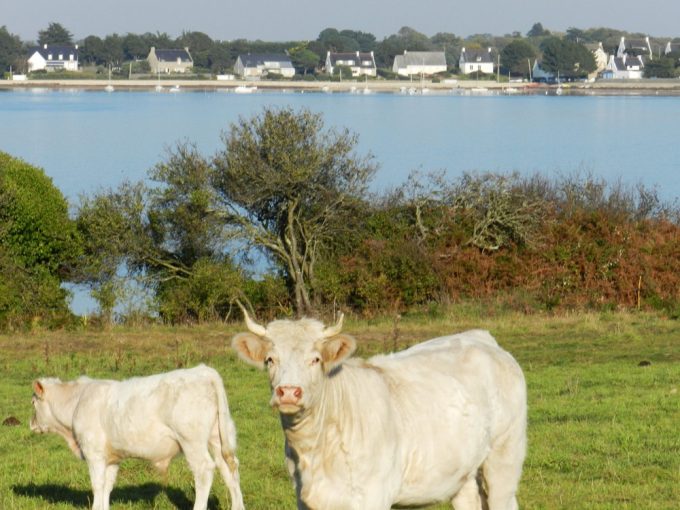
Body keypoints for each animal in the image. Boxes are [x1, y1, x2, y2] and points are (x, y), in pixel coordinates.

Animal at [30, 364, 245, 510]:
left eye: (33, 402)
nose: (30, 423)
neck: (77, 402)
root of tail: (203, 371)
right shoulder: (112, 458)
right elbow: (107, 486)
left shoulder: (94, 454)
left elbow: (97, 485)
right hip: (217, 438)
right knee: (229, 469)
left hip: (192, 442)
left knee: (204, 471)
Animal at [232, 312, 526, 510]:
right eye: (270, 359)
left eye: (315, 359)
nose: (289, 392)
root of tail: (479, 336)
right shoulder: (303, 497)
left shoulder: (373, 495)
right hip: (462, 469)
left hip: (506, 455)